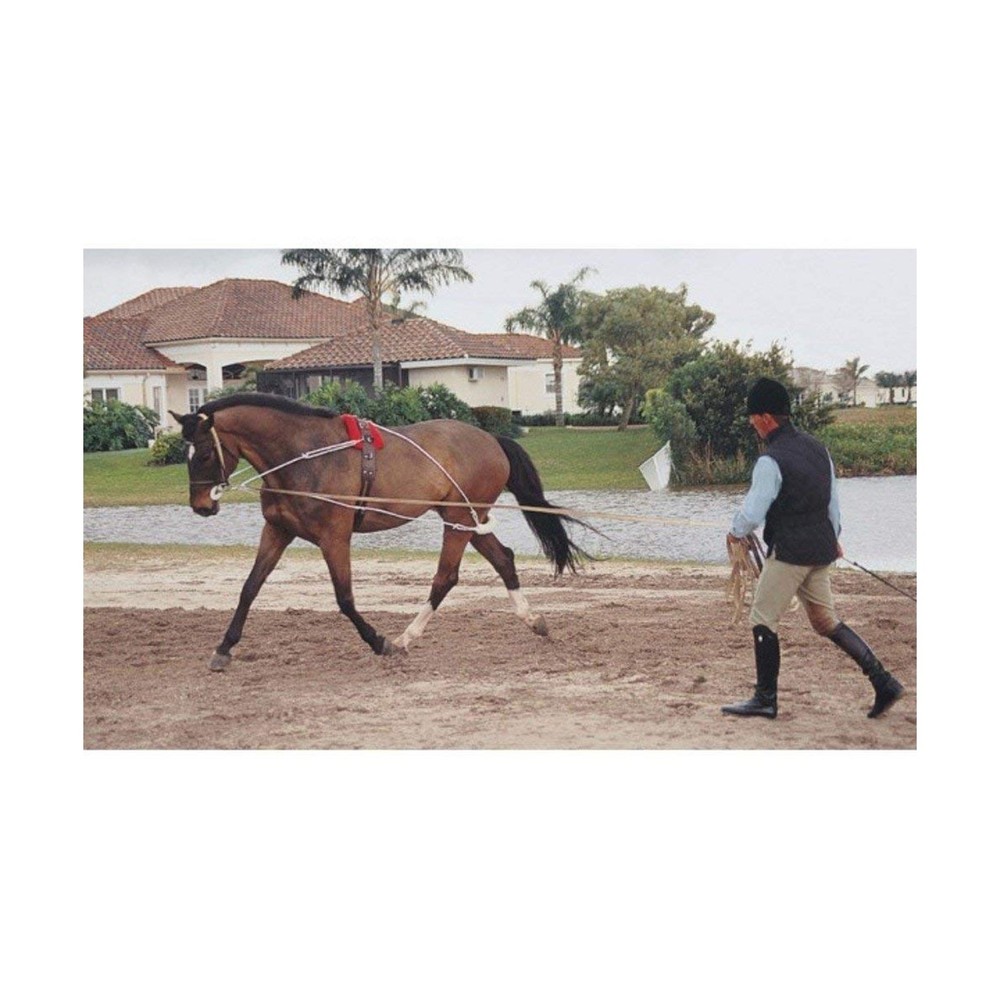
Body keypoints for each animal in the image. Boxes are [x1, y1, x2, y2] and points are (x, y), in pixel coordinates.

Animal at [169, 392, 592, 669]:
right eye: (185, 455)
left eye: (203, 454)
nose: (202, 506)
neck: (303, 456)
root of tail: (491, 439)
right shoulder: (276, 531)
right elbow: (249, 588)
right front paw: (224, 648)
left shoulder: (334, 538)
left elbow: (344, 599)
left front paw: (378, 642)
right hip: (467, 520)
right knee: (504, 560)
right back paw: (533, 620)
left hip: (457, 521)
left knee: (445, 578)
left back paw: (405, 638)